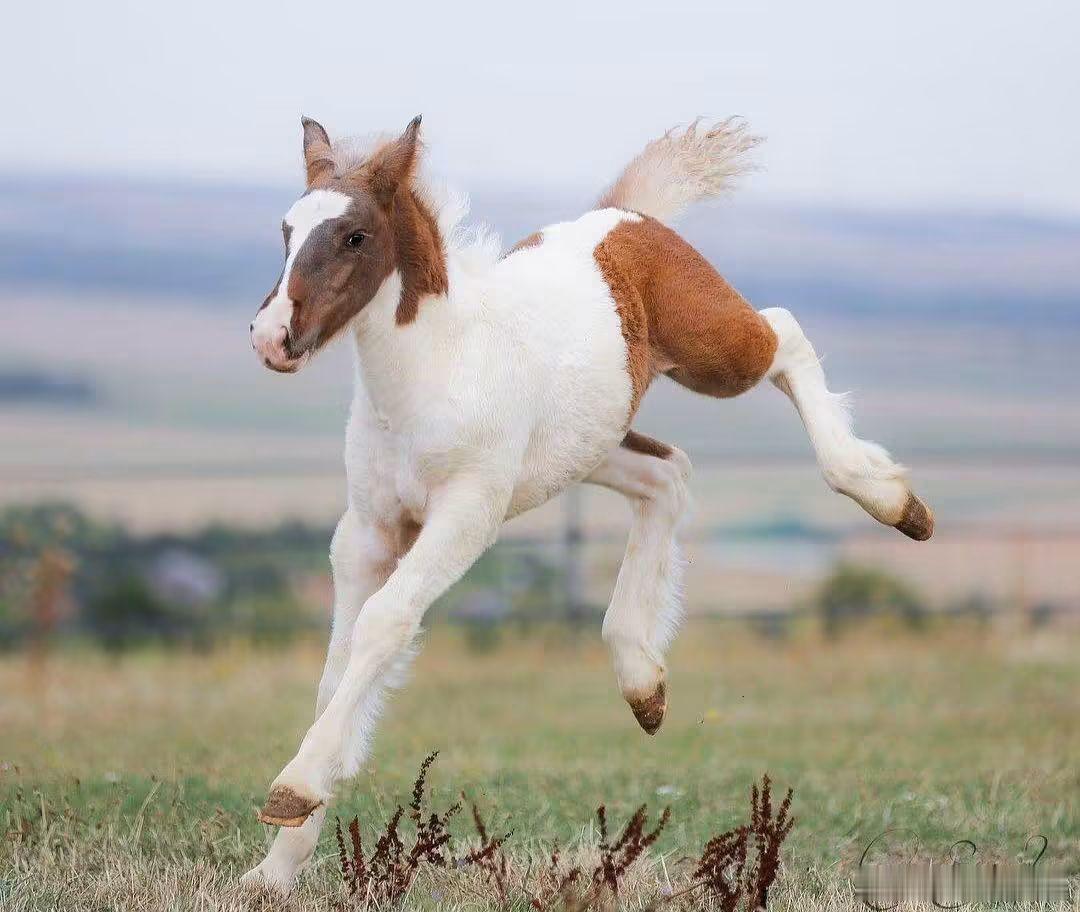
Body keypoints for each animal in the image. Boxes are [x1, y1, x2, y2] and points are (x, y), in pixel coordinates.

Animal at [243, 114, 933, 891]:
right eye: (287, 229)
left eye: (355, 236)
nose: (272, 338)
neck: (436, 372)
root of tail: (629, 215)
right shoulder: (365, 531)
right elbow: (336, 668)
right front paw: (275, 867)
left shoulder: (465, 515)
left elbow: (384, 624)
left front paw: (293, 790)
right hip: (592, 444)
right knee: (668, 474)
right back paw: (642, 680)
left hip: (714, 352)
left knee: (782, 333)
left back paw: (892, 500)